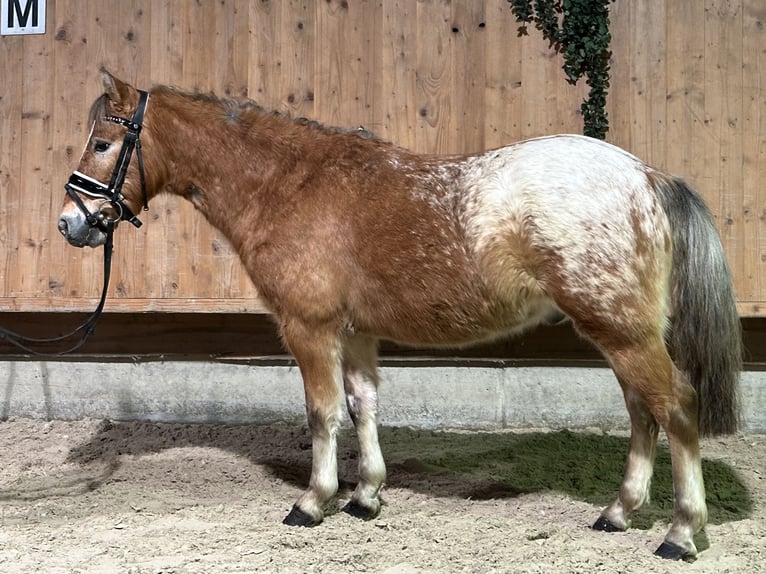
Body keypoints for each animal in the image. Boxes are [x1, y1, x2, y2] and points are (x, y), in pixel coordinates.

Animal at [60, 71, 744, 564]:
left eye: (102, 143)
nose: (71, 223)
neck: (289, 185)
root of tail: (645, 175)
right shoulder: (356, 333)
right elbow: (363, 406)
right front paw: (365, 496)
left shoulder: (309, 329)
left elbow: (322, 414)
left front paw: (313, 502)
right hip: (620, 333)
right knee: (643, 414)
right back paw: (619, 512)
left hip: (624, 332)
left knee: (676, 408)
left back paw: (681, 533)